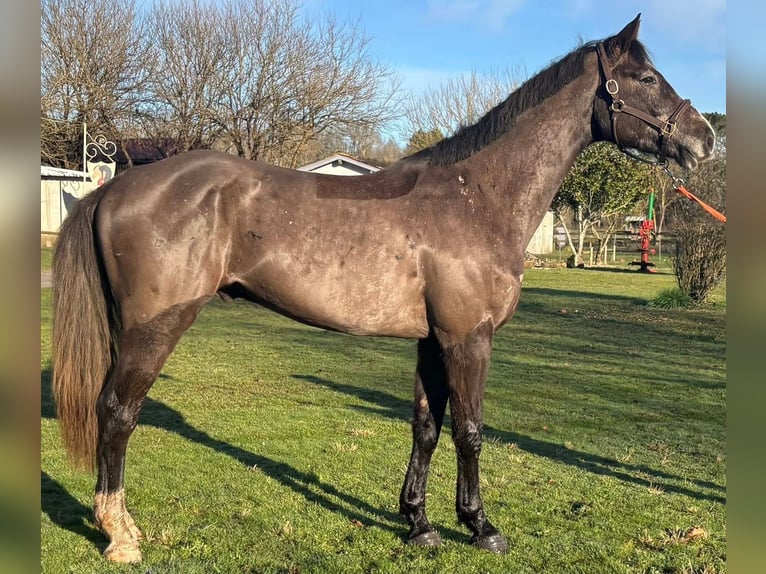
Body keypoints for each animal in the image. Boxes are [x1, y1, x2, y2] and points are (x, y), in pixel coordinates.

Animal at [52, 15, 715, 562]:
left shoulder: (432, 340)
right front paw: (481, 527)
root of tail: (114, 188)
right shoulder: (468, 339)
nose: (704, 138)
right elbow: (470, 431)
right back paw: (120, 535)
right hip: (156, 328)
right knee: (117, 412)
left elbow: (426, 426)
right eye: (647, 77)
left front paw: (419, 524)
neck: (476, 197)